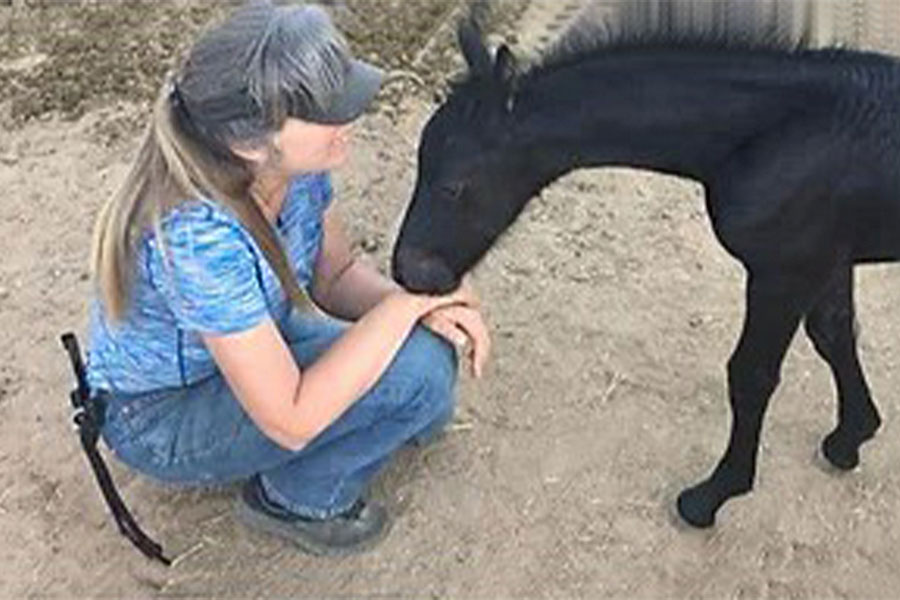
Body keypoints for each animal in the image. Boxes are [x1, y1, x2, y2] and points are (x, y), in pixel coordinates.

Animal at [390, 0, 900, 528]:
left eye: (453, 186)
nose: (409, 272)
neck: (779, 133)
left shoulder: (782, 273)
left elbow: (751, 375)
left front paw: (711, 496)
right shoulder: (825, 259)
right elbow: (834, 334)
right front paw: (851, 438)